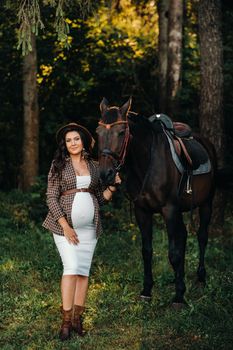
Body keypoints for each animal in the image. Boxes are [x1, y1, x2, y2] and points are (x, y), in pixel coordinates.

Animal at [96, 98, 217, 306]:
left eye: (121, 132)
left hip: (206, 203)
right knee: (184, 236)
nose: (106, 174)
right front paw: (147, 290)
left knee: (202, 236)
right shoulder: (142, 211)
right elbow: (147, 251)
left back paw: (201, 278)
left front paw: (179, 297)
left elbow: (173, 254)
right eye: (97, 132)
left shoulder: (169, 210)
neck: (146, 164)